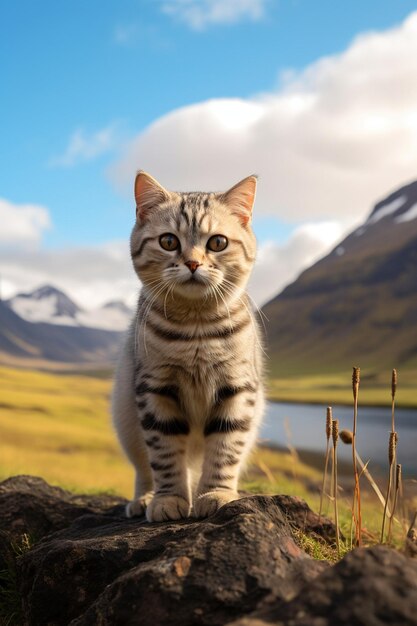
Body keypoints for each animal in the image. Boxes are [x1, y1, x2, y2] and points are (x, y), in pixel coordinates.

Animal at [111, 171, 264, 520]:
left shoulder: (237, 389)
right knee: (144, 469)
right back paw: (144, 499)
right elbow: (165, 456)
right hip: (126, 419)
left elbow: (224, 451)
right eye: (169, 242)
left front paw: (217, 494)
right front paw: (169, 499)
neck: (196, 329)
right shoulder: (155, 389)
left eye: (217, 243)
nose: (193, 263)